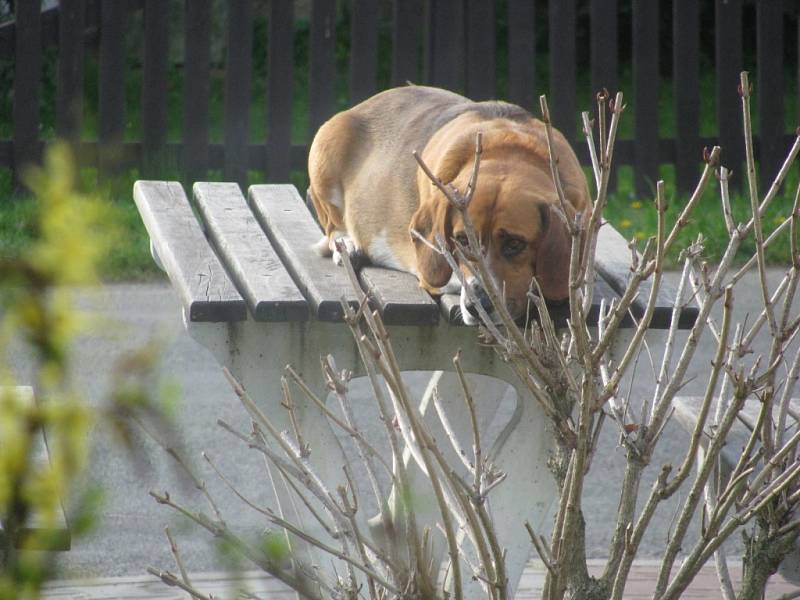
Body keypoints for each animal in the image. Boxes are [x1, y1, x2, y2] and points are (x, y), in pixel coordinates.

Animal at [306, 84, 588, 324]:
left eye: (515, 244)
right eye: (461, 241)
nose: (477, 306)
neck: (509, 149)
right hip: (325, 148)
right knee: (333, 226)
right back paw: (348, 243)